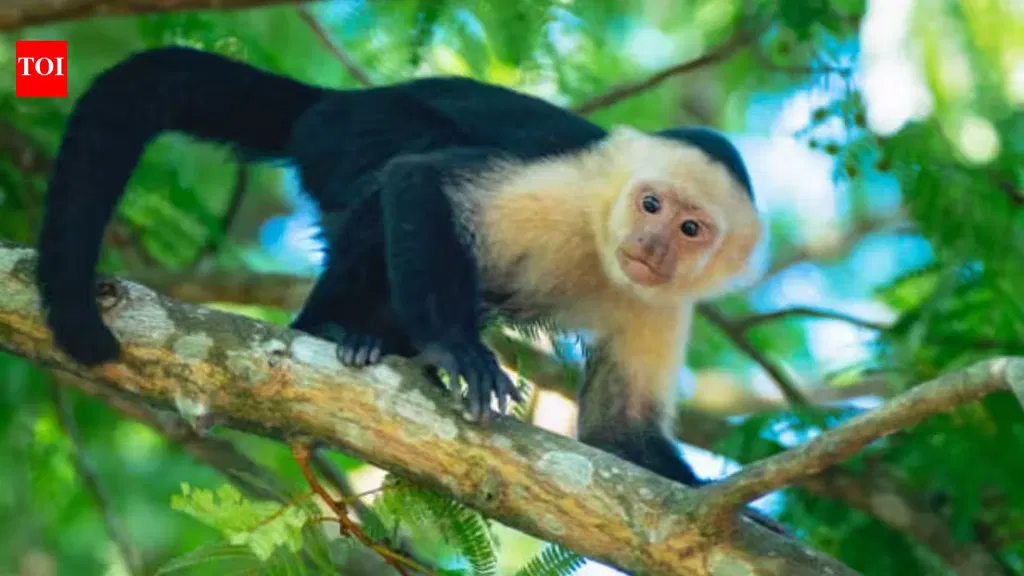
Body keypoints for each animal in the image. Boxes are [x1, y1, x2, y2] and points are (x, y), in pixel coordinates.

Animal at [35, 46, 769, 523]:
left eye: (691, 229)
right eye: (651, 205)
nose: (651, 245)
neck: (600, 242)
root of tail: (339, 101)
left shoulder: (666, 304)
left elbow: (616, 436)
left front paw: (735, 513)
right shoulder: (569, 192)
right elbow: (421, 177)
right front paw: (454, 348)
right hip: (347, 132)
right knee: (393, 171)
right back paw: (333, 328)